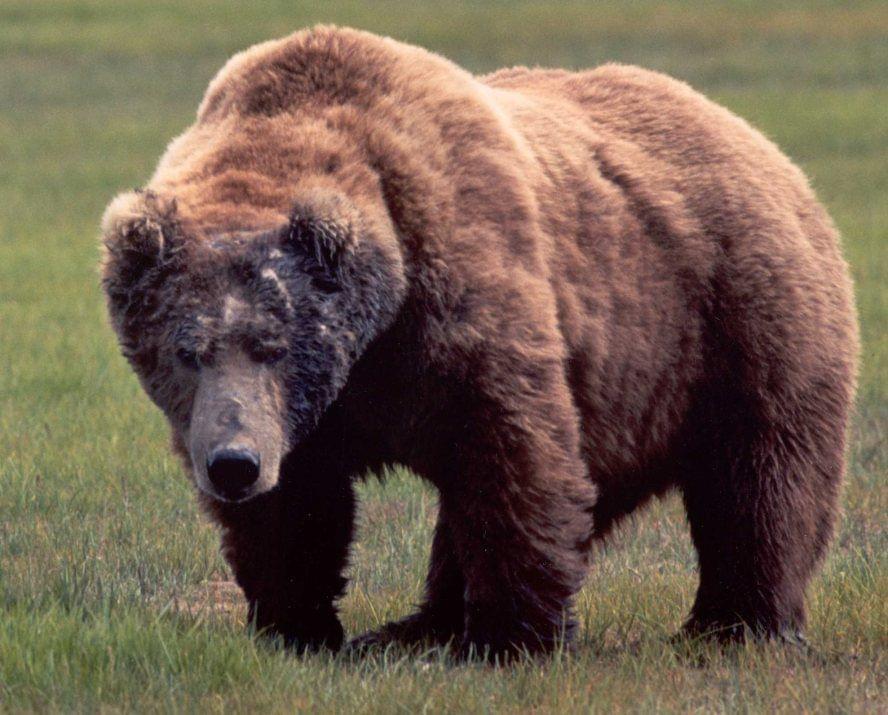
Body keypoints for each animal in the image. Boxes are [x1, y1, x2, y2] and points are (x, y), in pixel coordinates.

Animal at [99, 25, 860, 656]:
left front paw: (512, 637)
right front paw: (295, 624)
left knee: (761, 479)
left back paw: (737, 624)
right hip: (632, 394)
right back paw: (414, 625)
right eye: (186, 350)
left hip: (732, 321)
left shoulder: (458, 304)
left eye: (273, 344)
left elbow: (510, 454)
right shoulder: (304, 411)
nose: (234, 464)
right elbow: (299, 505)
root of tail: (763, 146)